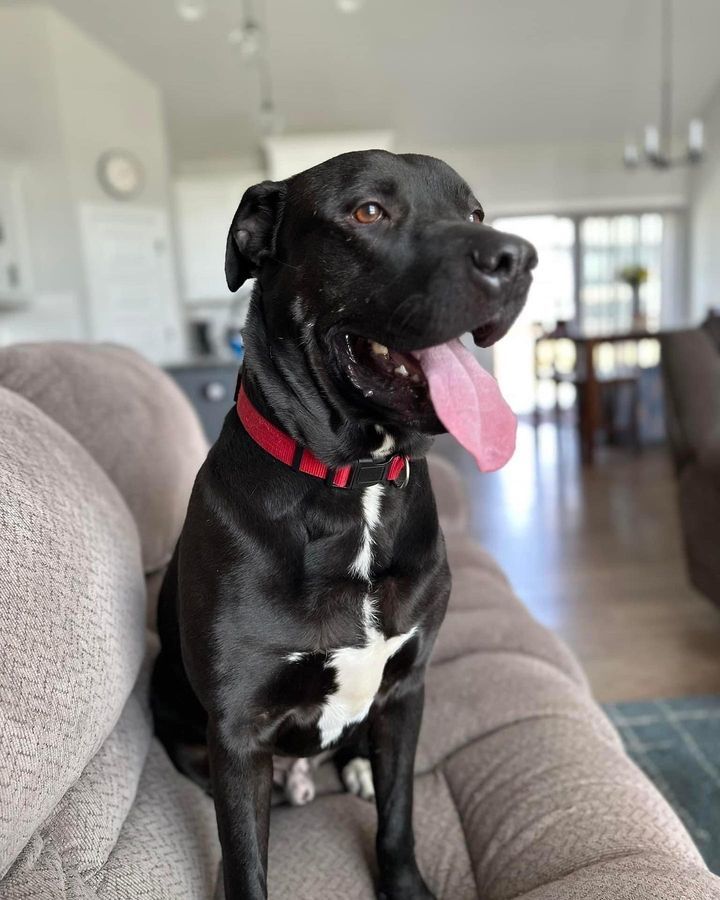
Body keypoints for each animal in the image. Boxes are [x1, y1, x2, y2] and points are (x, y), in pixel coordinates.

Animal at [152, 151, 536, 896]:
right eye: (368, 212)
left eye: (474, 212)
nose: (518, 257)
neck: (356, 488)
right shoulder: (237, 732)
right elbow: (243, 864)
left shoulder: (408, 690)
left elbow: (398, 814)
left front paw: (405, 883)